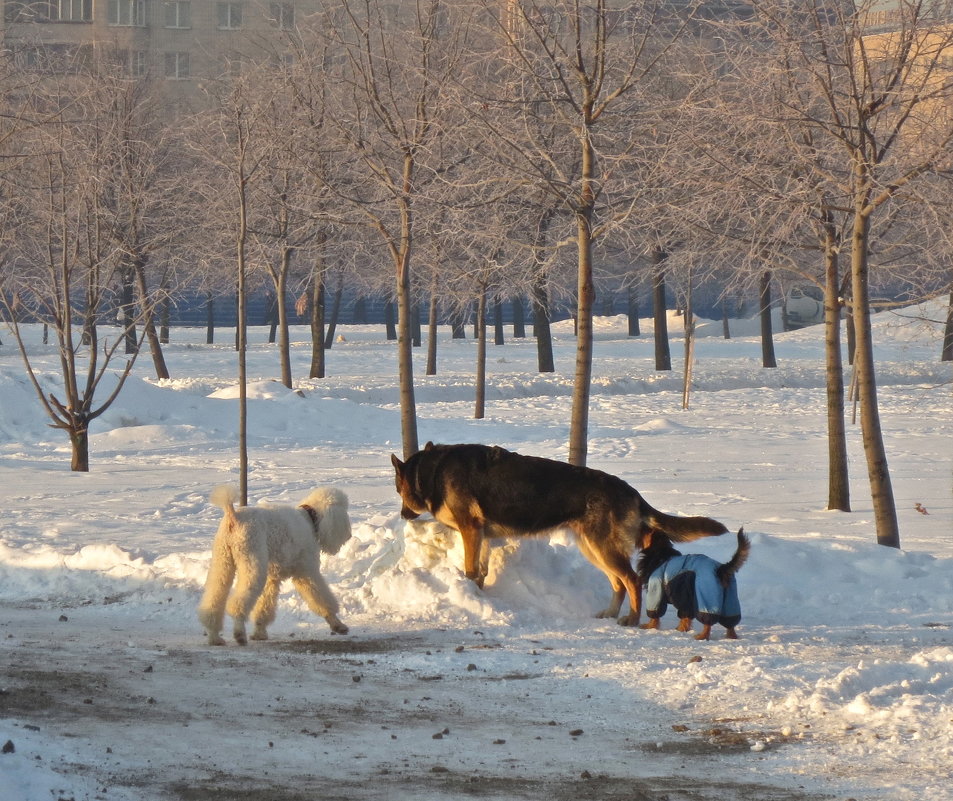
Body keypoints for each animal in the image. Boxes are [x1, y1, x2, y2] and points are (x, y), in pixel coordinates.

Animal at [197, 482, 354, 644]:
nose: (349, 535)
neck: (309, 518)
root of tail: (233, 516)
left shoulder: (272, 577)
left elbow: (264, 606)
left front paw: (259, 633)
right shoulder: (306, 572)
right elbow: (321, 598)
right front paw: (338, 625)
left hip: (223, 562)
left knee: (214, 598)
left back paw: (215, 637)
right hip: (252, 561)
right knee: (239, 603)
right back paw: (239, 633)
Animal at [386, 444, 728, 624]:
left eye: (398, 490)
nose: (403, 515)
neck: (432, 471)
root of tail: (631, 491)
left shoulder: (471, 531)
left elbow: (471, 570)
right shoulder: (480, 535)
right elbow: (479, 571)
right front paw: (478, 597)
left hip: (602, 548)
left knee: (631, 580)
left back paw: (631, 619)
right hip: (593, 548)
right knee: (618, 583)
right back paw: (609, 613)